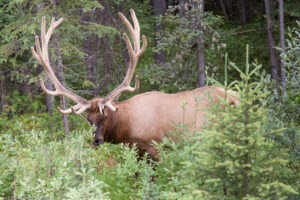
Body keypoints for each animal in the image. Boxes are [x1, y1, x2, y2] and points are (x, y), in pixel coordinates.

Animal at [31, 10, 239, 162]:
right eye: (89, 120)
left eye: (105, 116)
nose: (96, 140)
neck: (127, 131)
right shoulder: (137, 151)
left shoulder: (157, 148)